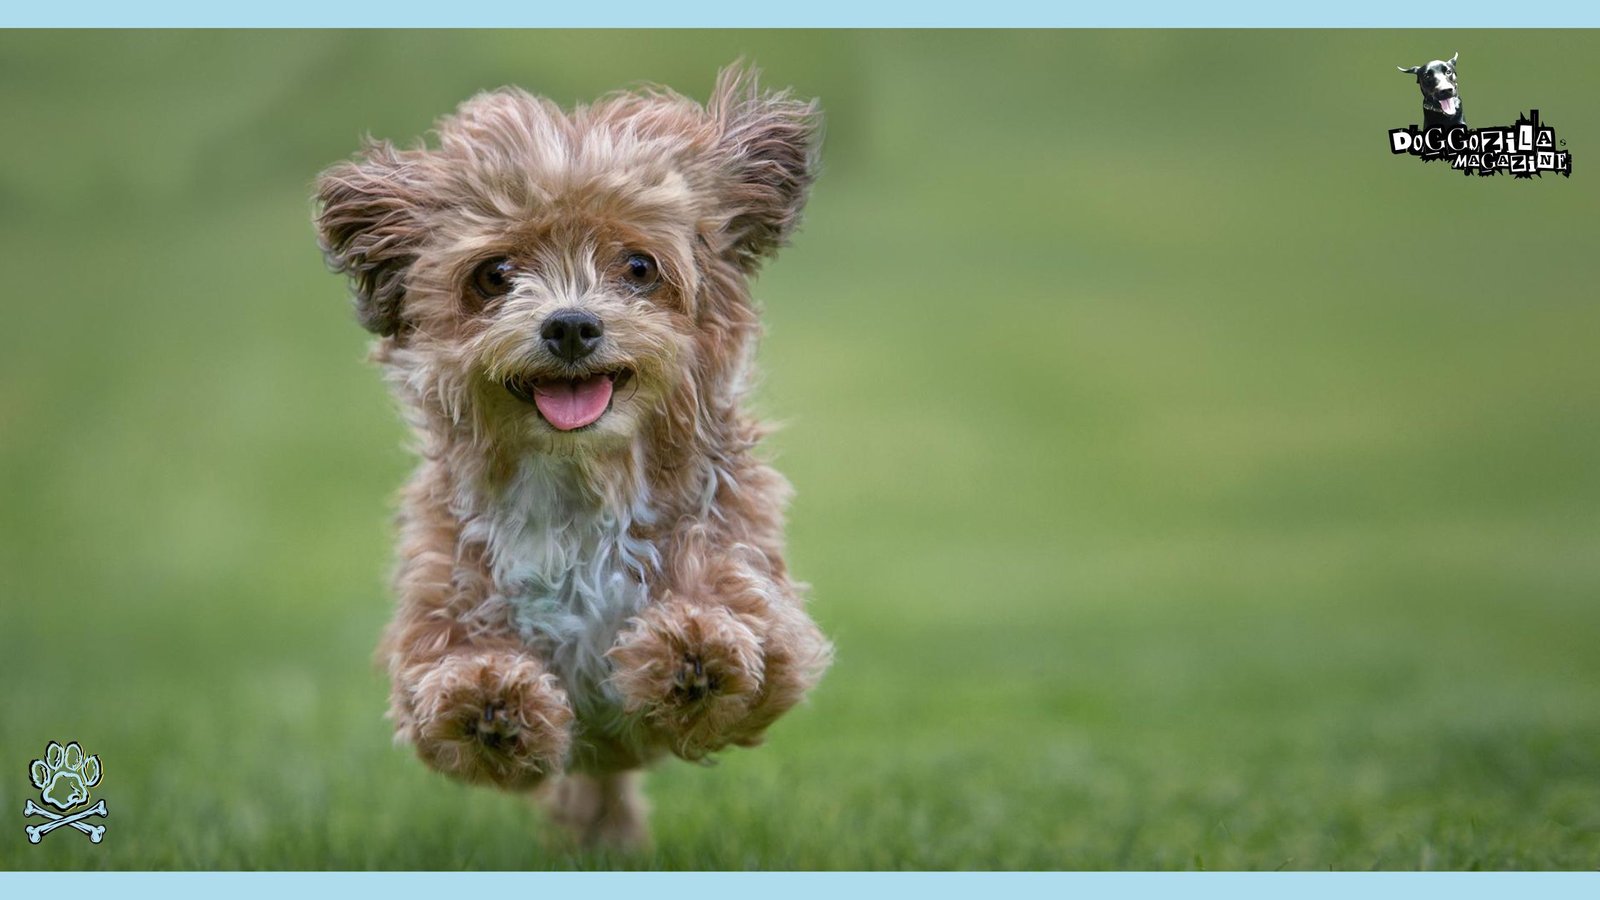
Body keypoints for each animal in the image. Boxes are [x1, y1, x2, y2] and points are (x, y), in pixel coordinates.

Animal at [315, 66, 838, 845]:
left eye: (640, 266)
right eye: (495, 273)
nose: (569, 325)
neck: (578, 480)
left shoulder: (761, 602)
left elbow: (739, 624)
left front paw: (694, 651)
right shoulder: (438, 610)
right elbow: (447, 683)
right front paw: (489, 702)